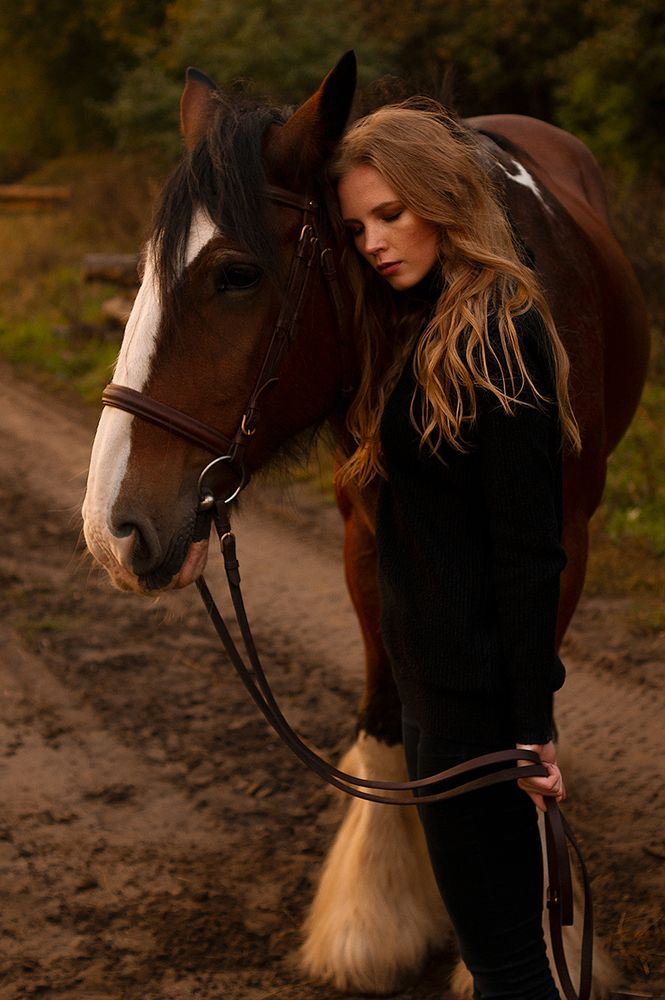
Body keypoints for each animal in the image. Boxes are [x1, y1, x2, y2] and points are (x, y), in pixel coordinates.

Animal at [82, 51, 649, 997]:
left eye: (236, 275)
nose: (111, 528)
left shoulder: (553, 545)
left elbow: (523, 732)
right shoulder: (370, 532)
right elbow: (387, 708)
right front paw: (373, 915)